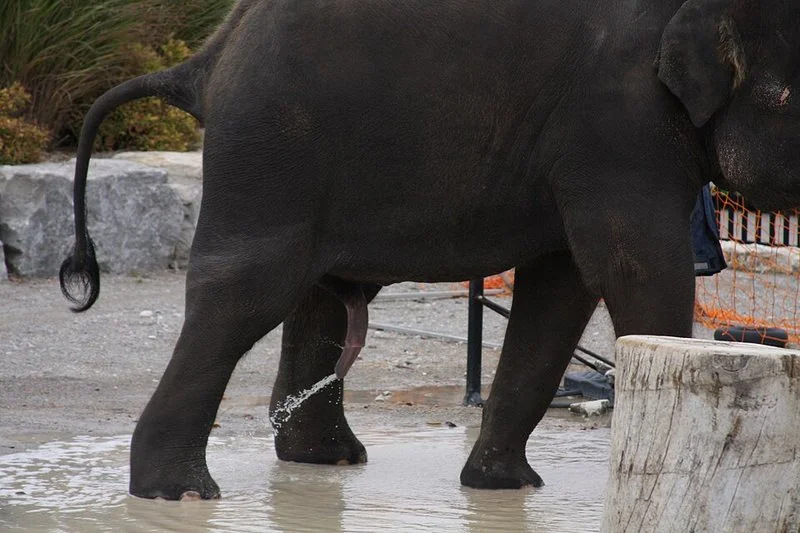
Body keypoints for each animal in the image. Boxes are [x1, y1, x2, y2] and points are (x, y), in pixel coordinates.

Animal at [60, 0, 800, 500]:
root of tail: (209, 58)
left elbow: (560, 287)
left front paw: (503, 486)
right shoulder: (621, 115)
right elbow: (632, 263)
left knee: (315, 297)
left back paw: (324, 460)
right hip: (271, 142)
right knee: (246, 292)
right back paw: (179, 492)